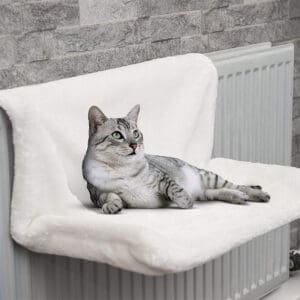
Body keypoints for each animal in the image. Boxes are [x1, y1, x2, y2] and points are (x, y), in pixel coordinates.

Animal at [82, 105, 270, 213]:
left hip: (207, 176)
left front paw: (186, 202)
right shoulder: (97, 194)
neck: (122, 169)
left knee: (236, 186)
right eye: (117, 135)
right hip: (205, 191)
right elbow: (111, 196)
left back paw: (258, 194)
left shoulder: (163, 179)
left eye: (136, 133)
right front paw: (112, 206)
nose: (134, 144)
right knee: (217, 192)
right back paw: (238, 197)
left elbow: (175, 190)